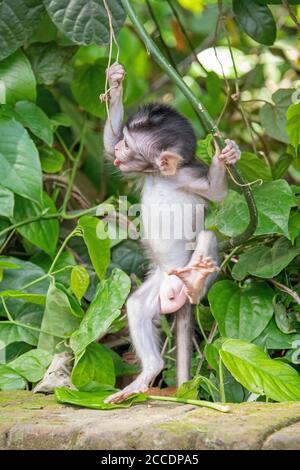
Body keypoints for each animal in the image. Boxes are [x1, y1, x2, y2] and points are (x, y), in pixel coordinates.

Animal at [104, 61, 240, 404]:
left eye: (129, 145)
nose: (121, 147)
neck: (162, 176)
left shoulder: (188, 177)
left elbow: (216, 194)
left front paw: (225, 157)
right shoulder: (140, 172)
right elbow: (106, 148)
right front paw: (116, 84)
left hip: (186, 269)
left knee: (208, 235)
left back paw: (197, 281)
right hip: (161, 284)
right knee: (138, 307)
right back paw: (146, 374)